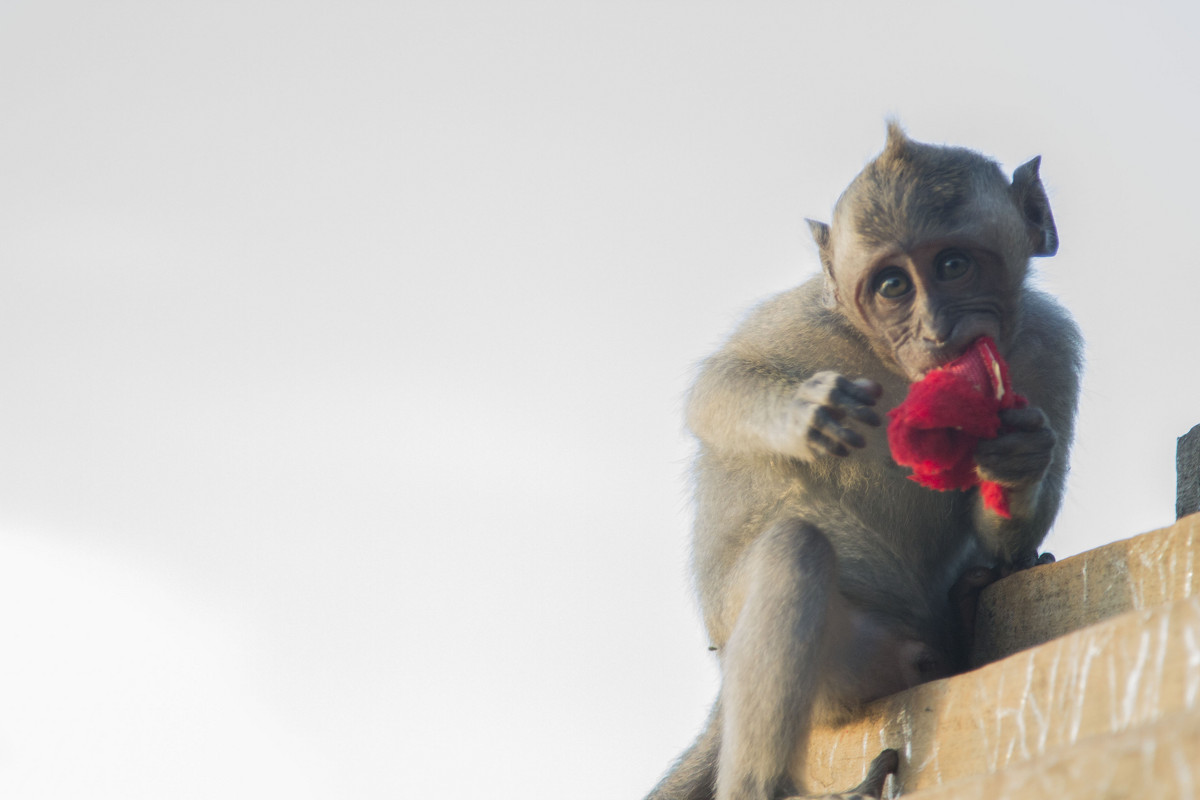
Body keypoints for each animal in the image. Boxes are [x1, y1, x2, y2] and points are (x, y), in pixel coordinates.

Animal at [648, 120, 1089, 800]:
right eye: (892, 286)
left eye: (954, 266)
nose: (936, 331)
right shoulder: (810, 318)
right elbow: (716, 389)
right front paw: (807, 412)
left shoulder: (1048, 347)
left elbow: (1006, 518)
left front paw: (1017, 458)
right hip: (849, 670)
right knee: (794, 549)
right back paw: (764, 787)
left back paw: (966, 612)